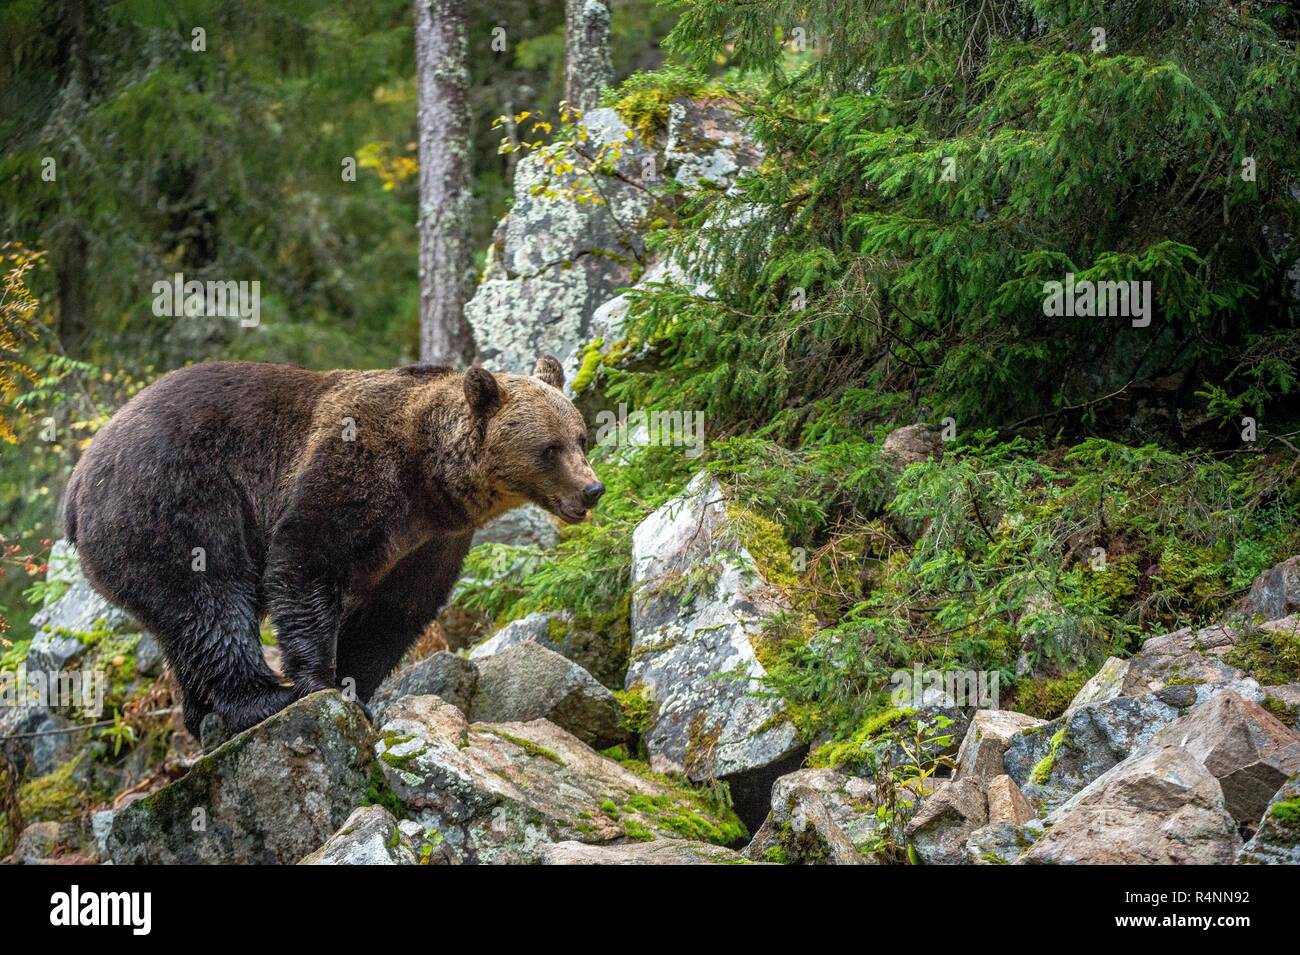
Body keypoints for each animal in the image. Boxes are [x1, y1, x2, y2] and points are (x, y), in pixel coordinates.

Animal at [63, 358, 600, 738]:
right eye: (549, 448)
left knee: (181, 625)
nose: (592, 490)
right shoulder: (352, 468)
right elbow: (305, 560)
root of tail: (76, 482)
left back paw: (202, 714)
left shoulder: (432, 542)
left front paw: (355, 687)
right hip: (171, 501)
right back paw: (261, 698)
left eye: (581, 437)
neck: (429, 480)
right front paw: (319, 683)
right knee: (211, 597)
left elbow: (394, 611)